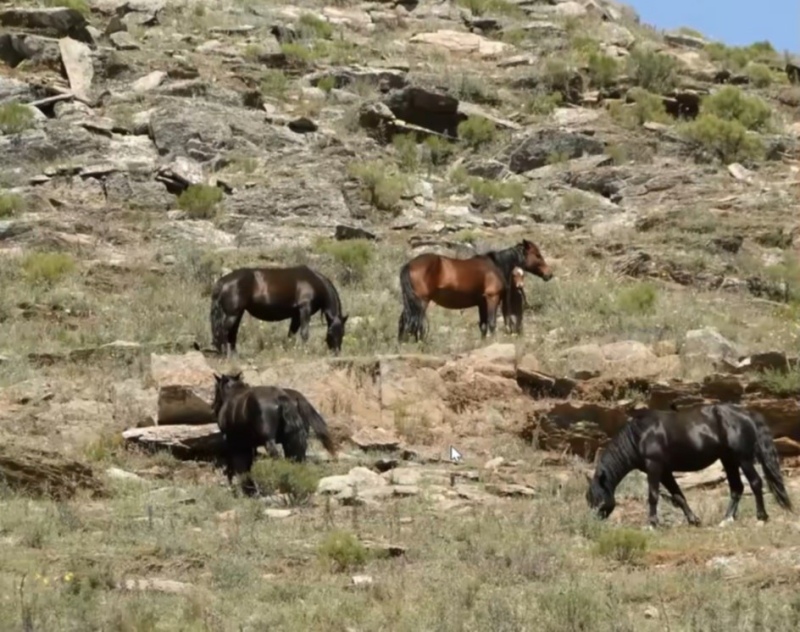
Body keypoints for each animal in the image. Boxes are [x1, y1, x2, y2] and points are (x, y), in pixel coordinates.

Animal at [209, 264, 346, 358]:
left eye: (343, 333)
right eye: (332, 331)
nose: (337, 352)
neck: (314, 282)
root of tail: (223, 282)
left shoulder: (296, 315)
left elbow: (291, 334)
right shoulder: (304, 310)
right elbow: (304, 333)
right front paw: (304, 352)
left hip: (238, 313)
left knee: (232, 333)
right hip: (232, 314)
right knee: (223, 332)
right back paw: (225, 354)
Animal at [396, 239, 552, 344]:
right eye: (537, 255)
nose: (549, 274)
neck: (496, 266)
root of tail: (409, 264)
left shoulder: (481, 303)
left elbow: (483, 326)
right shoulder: (492, 298)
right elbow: (492, 323)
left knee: (404, 320)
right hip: (421, 302)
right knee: (416, 323)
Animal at [584, 404, 792, 528]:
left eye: (596, 497)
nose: (593, 523)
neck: (639, 435)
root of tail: (747, 414)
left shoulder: (655, 467)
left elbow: (653, 495)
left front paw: (652, 524)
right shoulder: (665, 471)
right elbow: (679, 496)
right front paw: (694, 520)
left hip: (743, 458)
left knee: (755, 482)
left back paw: (761, 517)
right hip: (728, 459)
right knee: (737, 487)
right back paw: (726, 519)